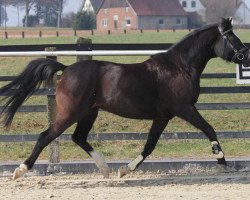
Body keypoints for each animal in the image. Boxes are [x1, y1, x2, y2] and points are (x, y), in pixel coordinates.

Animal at [0, 17, 250, 180]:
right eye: (231, 36)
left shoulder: (163, 116)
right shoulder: (184, 108)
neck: (179, 67)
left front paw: (125, 169)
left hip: (90, 112)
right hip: (71, 112)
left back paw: (105, 169)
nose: (246, 55)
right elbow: (209, 129)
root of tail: (67, 69)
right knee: (46, 136)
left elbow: (149, 146)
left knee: (78, 137)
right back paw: (20, 170)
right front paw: (221, 159)